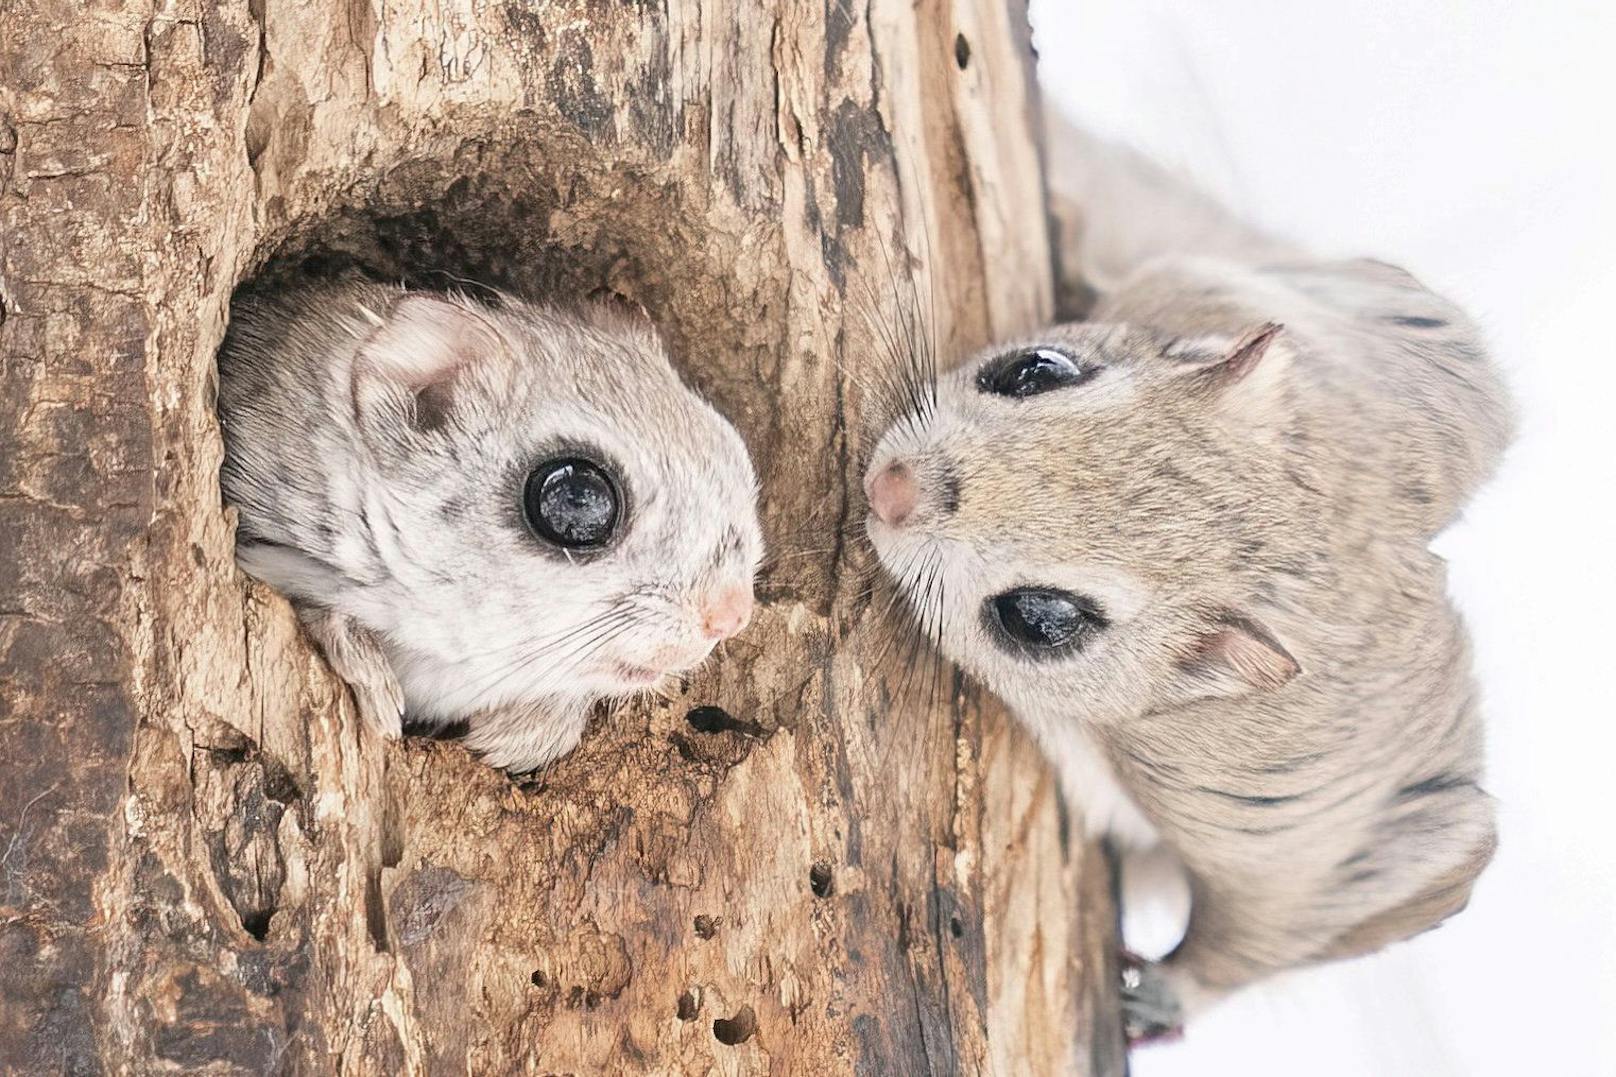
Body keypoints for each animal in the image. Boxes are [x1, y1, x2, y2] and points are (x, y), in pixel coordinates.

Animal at [866, 115, 1506, 1041]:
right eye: (1035, 369)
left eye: (1042, 617)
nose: (892, 490)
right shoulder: (1191, 284)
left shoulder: (1259, 820)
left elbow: (1268, 927)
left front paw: (1170, 990)